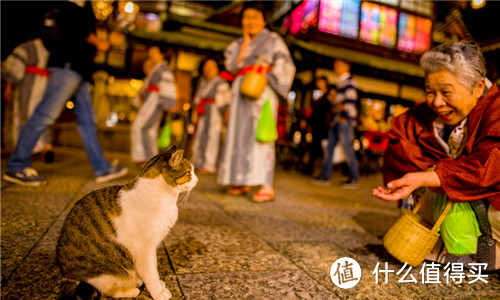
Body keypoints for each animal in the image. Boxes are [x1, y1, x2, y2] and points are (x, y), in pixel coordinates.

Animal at [56, 145, 197, 298]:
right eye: (189, 172)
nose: (197, 180)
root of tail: (66, 277)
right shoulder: (144, 250)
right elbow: (151, 274)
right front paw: (158, 292)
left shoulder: (152, 246)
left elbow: (154, 268)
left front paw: (159, 284)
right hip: (105, 273)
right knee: (109, 290)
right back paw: (131, 290)